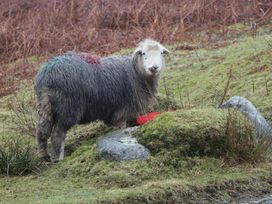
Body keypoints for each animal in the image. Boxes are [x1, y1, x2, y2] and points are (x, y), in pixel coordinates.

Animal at [34, 38, 169, 163]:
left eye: (161, 53)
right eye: (143, 53)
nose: (154, 67)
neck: (137, 72)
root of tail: (48, 74)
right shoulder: (123, 110)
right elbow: (121, 128)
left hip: (45, 105)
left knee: (42, 131)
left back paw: (44, 156)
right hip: (68, 107)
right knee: (58, 134)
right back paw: (60, 159)